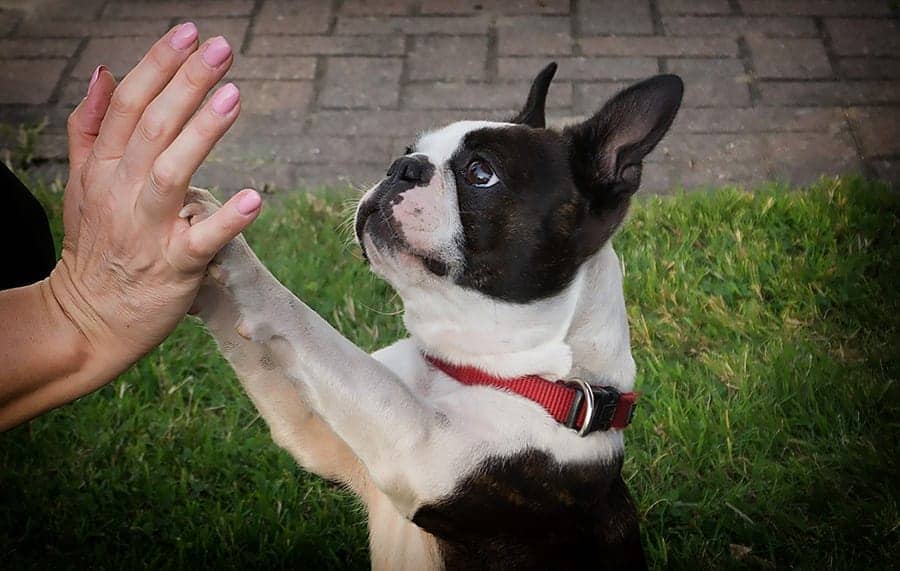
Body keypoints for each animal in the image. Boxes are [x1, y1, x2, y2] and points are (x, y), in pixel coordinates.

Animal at [183, 65, 684, 568]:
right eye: (409, 150)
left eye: (481, 173)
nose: (402, 167)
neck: (465, 369)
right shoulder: (316, 433)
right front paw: (196, 247)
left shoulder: (419, 448)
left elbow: (312, 328)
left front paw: (238, 262)